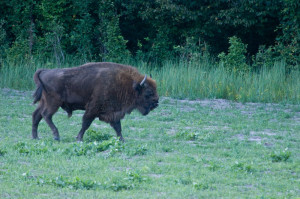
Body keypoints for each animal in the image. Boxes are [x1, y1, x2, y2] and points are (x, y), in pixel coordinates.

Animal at [31, 62, 159, 141]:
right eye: (148, 92)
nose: (156, 103)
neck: (130, 85)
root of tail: (44, 71)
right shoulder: (93, 108)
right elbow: (86, 123)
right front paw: (79, 138)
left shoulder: (114, 111)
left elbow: (118, 127)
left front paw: (122, 140)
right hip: (53, 103)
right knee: (46, 115)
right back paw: (56, 136)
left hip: (44, 102)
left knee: (37, 115)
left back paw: (35, 137)